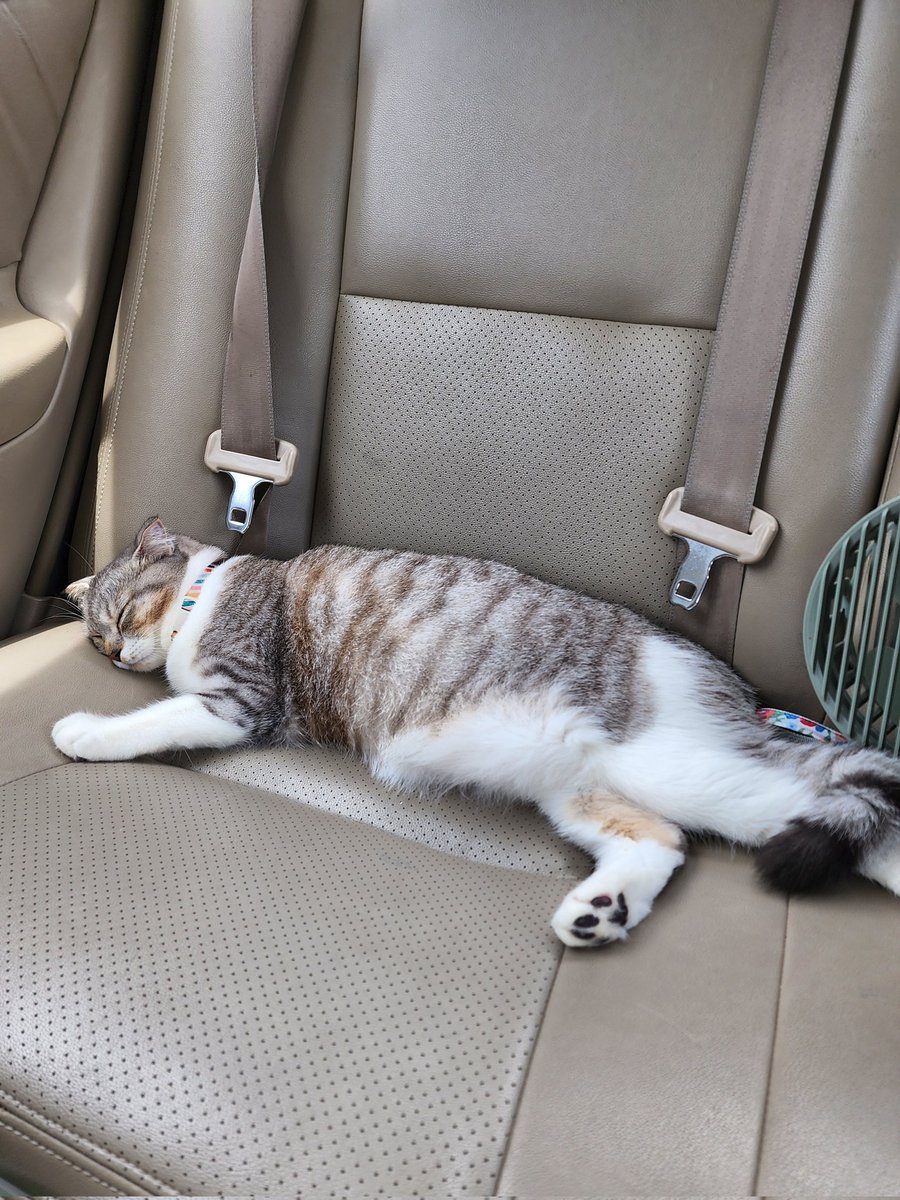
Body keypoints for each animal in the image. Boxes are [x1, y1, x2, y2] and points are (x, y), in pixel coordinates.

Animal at [53, 517, 900, 947]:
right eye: (96, 639)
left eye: (124, 615)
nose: (116, 654)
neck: (210, 590)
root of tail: (735, 693)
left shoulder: (238, 696)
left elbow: (153, 721)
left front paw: (85, 730)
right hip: (581, 789)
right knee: (662, 841)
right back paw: (600, 913)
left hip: (681, 767)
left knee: (815, 791)